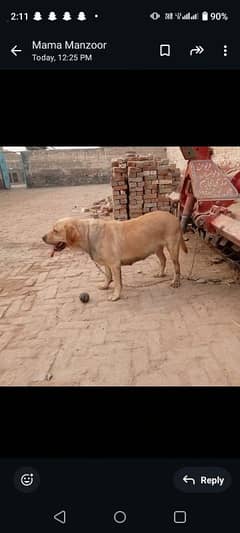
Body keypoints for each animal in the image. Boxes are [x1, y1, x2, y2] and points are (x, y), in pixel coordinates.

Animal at [42, 212, 187, 304]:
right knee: (163, 260)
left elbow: (117, 282)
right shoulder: (107, 264)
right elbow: (107, 276)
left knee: (177, 266)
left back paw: (176, 282)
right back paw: (160, 274)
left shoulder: (114, 264)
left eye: (55, 230)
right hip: (157, 248)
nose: (42, 237)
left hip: (172, 248)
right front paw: (106, 285)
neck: (88, 234)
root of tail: (175, 217)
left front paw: (116, 296)